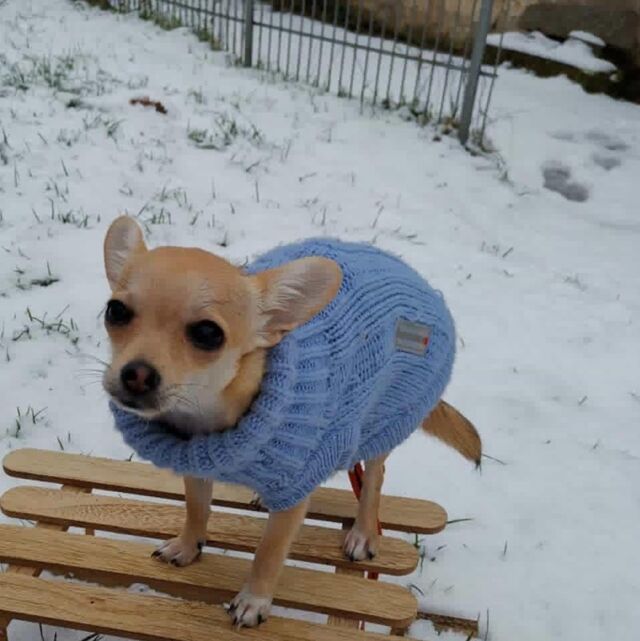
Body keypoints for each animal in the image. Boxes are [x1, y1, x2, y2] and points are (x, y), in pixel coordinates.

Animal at [102, 215, 481, 627]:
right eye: (115, 311)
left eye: (207, 334)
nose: (136, 375)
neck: (207, 415)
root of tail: (416, 279)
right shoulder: (196, 466)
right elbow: (196, 508)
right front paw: (188, 545)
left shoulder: (293, 494)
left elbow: (268, 552)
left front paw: (254, 600)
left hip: (383, 419)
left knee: (374, 477)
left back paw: (364, 531)